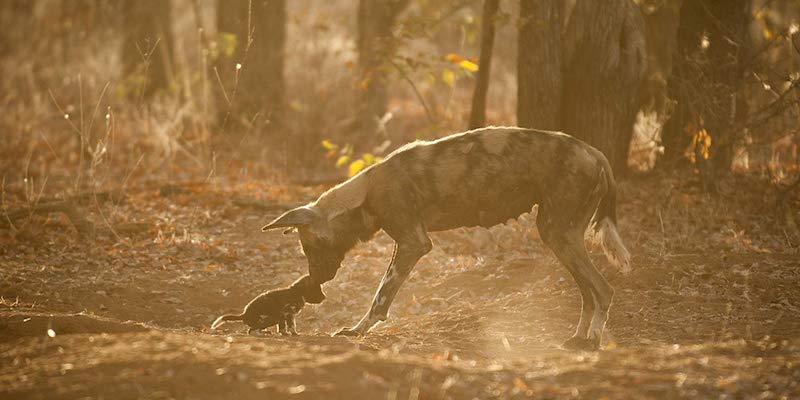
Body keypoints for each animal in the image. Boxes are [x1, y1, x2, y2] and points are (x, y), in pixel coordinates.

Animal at [262, 126, 632, 348]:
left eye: (309, 246)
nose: (316, 278)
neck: (365, 194)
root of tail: (594, 152)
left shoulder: (413, 244)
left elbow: (380, 297)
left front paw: (357, 331)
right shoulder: (408, 242)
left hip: (559, 234)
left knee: (604, 289)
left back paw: (592, 342)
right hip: (559, 237)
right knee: (589, 292)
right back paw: (578, 338)